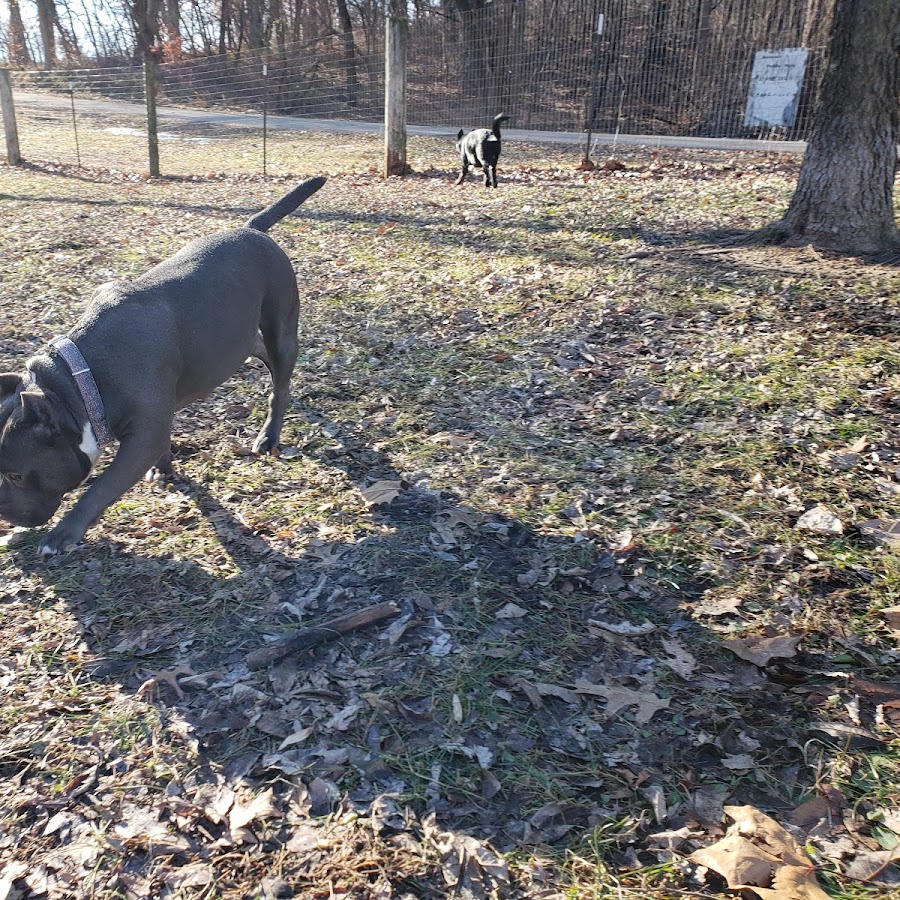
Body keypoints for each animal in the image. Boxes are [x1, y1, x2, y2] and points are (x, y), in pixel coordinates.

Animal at [0, 174, 326, 556]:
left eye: (16, 475)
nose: (3, 513)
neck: (79, 382)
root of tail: (253, 229)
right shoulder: (156, 420)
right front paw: (165, 468)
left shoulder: (140, 441)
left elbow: (100, 488)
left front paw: (62, 535)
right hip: (240, 339)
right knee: (258, 352)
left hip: (281, 327)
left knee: (281, 384)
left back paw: (269, 434)